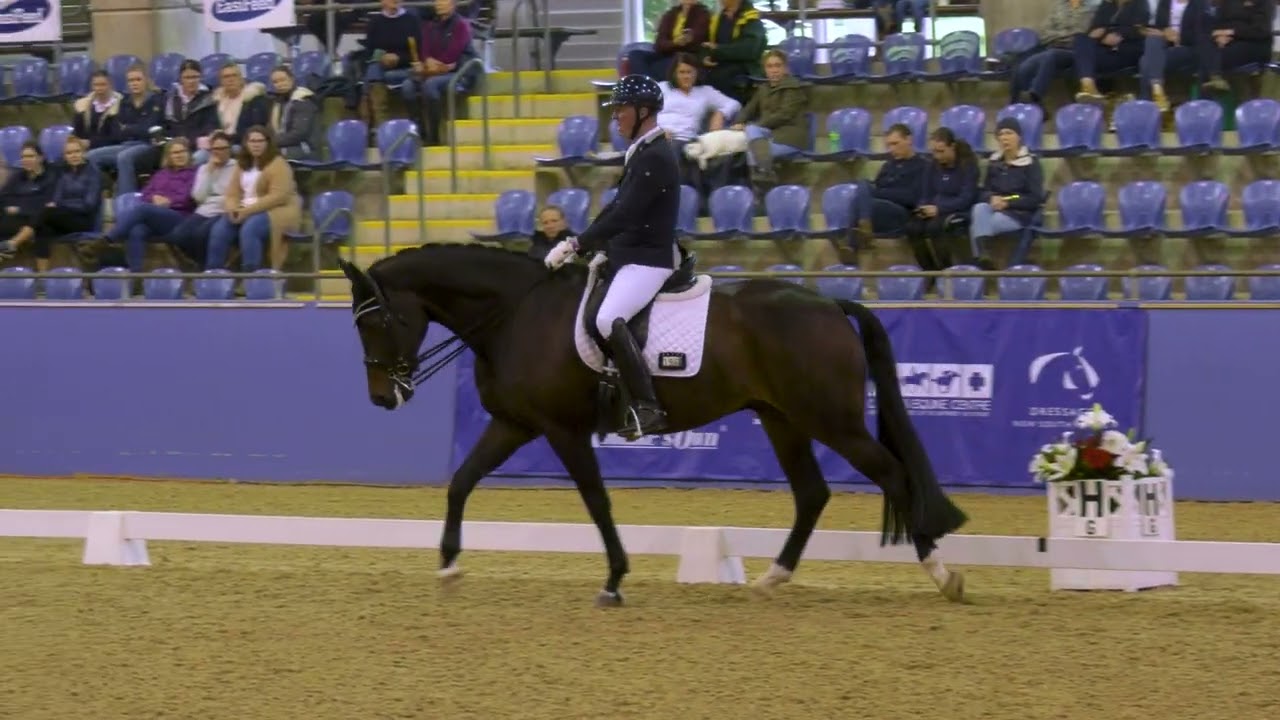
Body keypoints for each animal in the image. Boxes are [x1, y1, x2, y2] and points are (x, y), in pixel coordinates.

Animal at [337, 244, 970, 607]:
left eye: (376, 324)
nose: (381, 398)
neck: (516, 314)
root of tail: (831, 303)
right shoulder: (516, 423)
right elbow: (461, 481)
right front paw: (448, 565)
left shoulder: (561, 429)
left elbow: (596, 501)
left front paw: (614, 579)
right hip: (782, 419)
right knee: (812, 493)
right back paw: (772, 578)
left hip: (830, 419)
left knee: (893, 476)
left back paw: (942, 575)